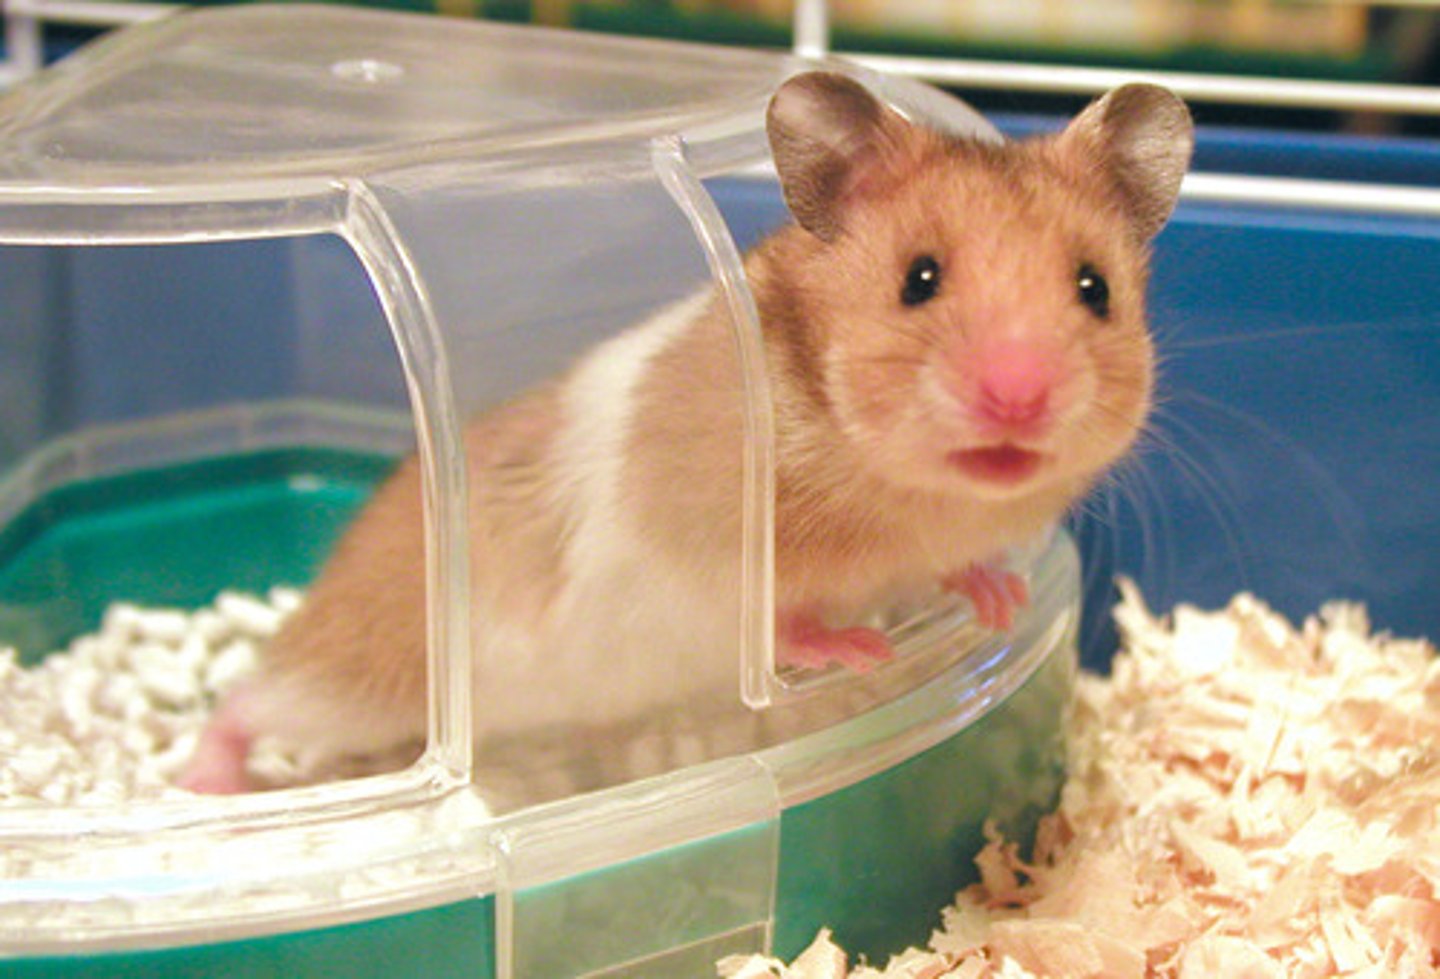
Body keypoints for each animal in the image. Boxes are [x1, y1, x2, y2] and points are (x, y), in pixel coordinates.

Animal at [182, 72, 1192, 806]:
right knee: (248, 698)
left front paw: (997, 599)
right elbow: (774, 610)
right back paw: (204, 782)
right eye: (920, 278)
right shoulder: (705, 545)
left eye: (1095, 288)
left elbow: (955, 569)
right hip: (362, 672)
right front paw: (854, 651)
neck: (903, 491)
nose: (1019, 398)